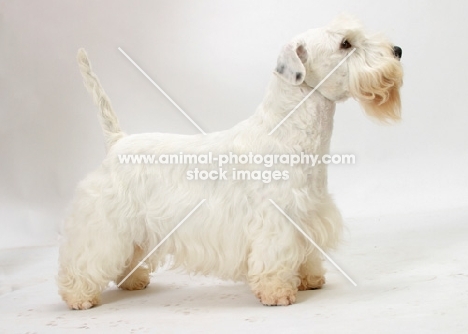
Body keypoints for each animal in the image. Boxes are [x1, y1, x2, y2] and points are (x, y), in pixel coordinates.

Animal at [57, 14, 402, 310]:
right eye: (345, 43)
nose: (398, 50)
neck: (288, 132)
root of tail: (117, 141)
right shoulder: (276, 219)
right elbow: (274, 256)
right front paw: (277, 292)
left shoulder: (307, 213)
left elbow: (306, 253)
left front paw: (309, 279)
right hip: (105, 222)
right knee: (85, 257)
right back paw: (78, 296)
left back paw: (133, 281)